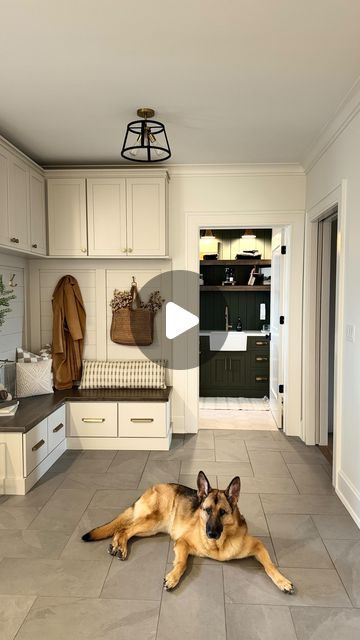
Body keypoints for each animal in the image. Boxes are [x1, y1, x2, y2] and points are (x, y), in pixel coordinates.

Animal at [82, 470, 296, 596]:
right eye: (206, 510)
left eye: (223, 512)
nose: (211, 533)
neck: (218, 545)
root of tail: (152, 487)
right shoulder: (182, 543)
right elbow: (183, 563)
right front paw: (173, 577)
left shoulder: (258, 545)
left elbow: (270, 565)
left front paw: (282, 580)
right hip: (152, 523)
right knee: (124, 528)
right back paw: (121, 547)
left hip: (151, 528)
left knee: (122, 529)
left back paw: (116, 545)